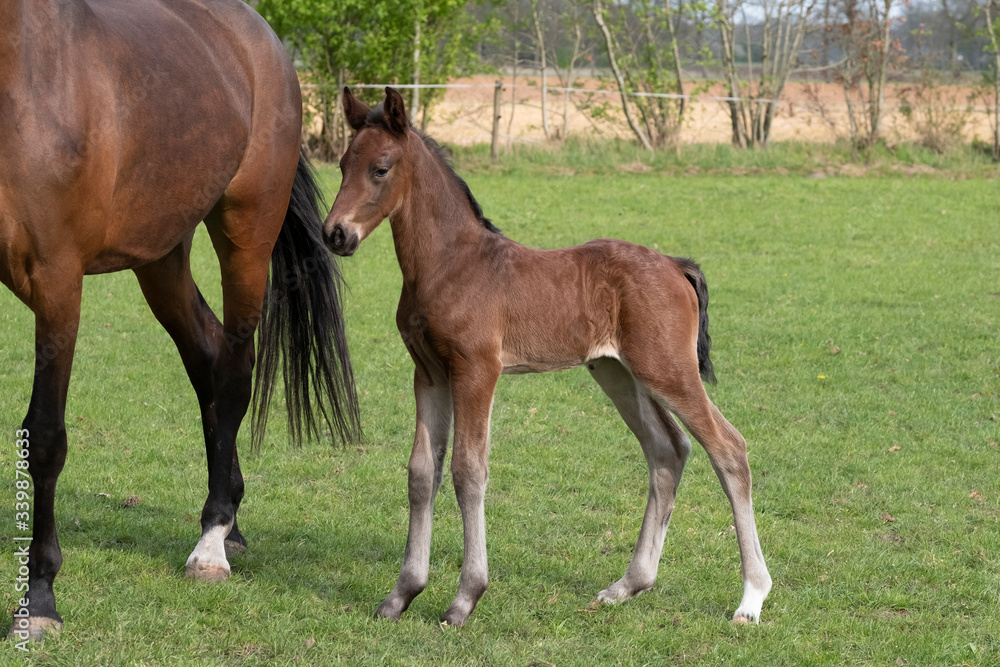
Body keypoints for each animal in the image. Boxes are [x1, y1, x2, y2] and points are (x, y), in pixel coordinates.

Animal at [0, 0, 360, 640]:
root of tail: (259, 37)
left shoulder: (58, 281)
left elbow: (43, 436)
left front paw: (38, 597)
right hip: (161, 257)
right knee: (207, 360)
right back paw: (231, 518)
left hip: (245, 238)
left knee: (234, 373)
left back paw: (212, 544)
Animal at [328, 87, 772, 628]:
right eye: (342, 164)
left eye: (382, 168)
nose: (335, 234)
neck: (449, 264)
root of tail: (673, 264)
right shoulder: (428, 373)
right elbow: (421, 472)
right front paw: (401, 595)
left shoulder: (478, 370)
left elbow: (468, 471)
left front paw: (465, 599)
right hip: (617, 372)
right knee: (667, 450)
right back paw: (627, 585)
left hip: (667, 369)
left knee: (728, 449)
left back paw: (751, 598)